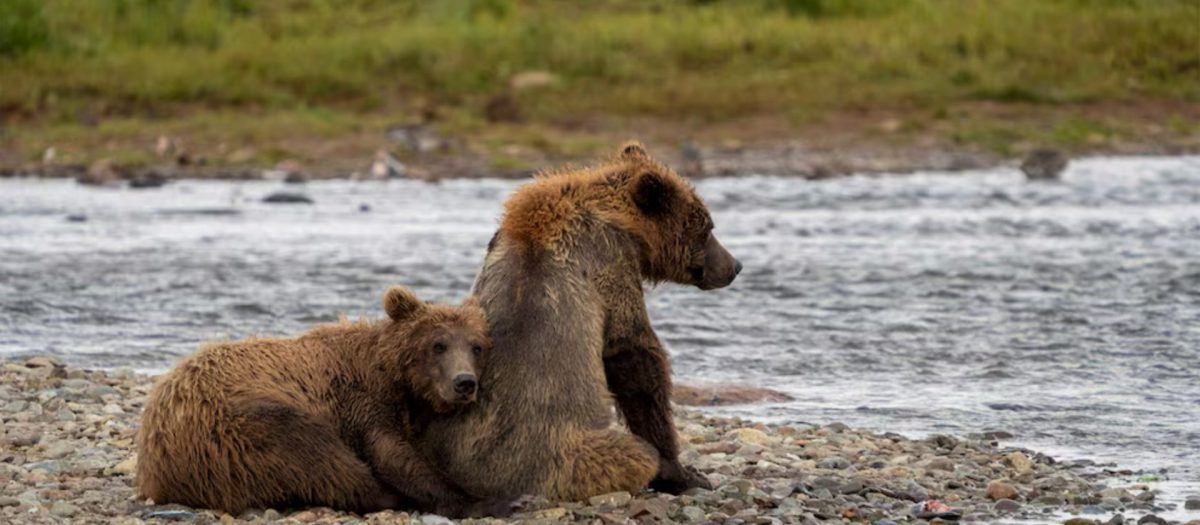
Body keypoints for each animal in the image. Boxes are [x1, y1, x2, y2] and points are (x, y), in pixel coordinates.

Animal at [136, 286, 505, 517]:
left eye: (476, 346)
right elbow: (391, 453)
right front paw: (481, 501)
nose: (464, 383)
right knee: (320, 457)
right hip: (237, 424)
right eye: (438, 344)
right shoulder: (355, 397)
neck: (393, 378)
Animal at [421, 141, 741, 501]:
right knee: (625, 453)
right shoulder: (609, 266)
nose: (734, 265)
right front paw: (684, 472)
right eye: (708, 228)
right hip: (563, 455)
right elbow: (634, 355)